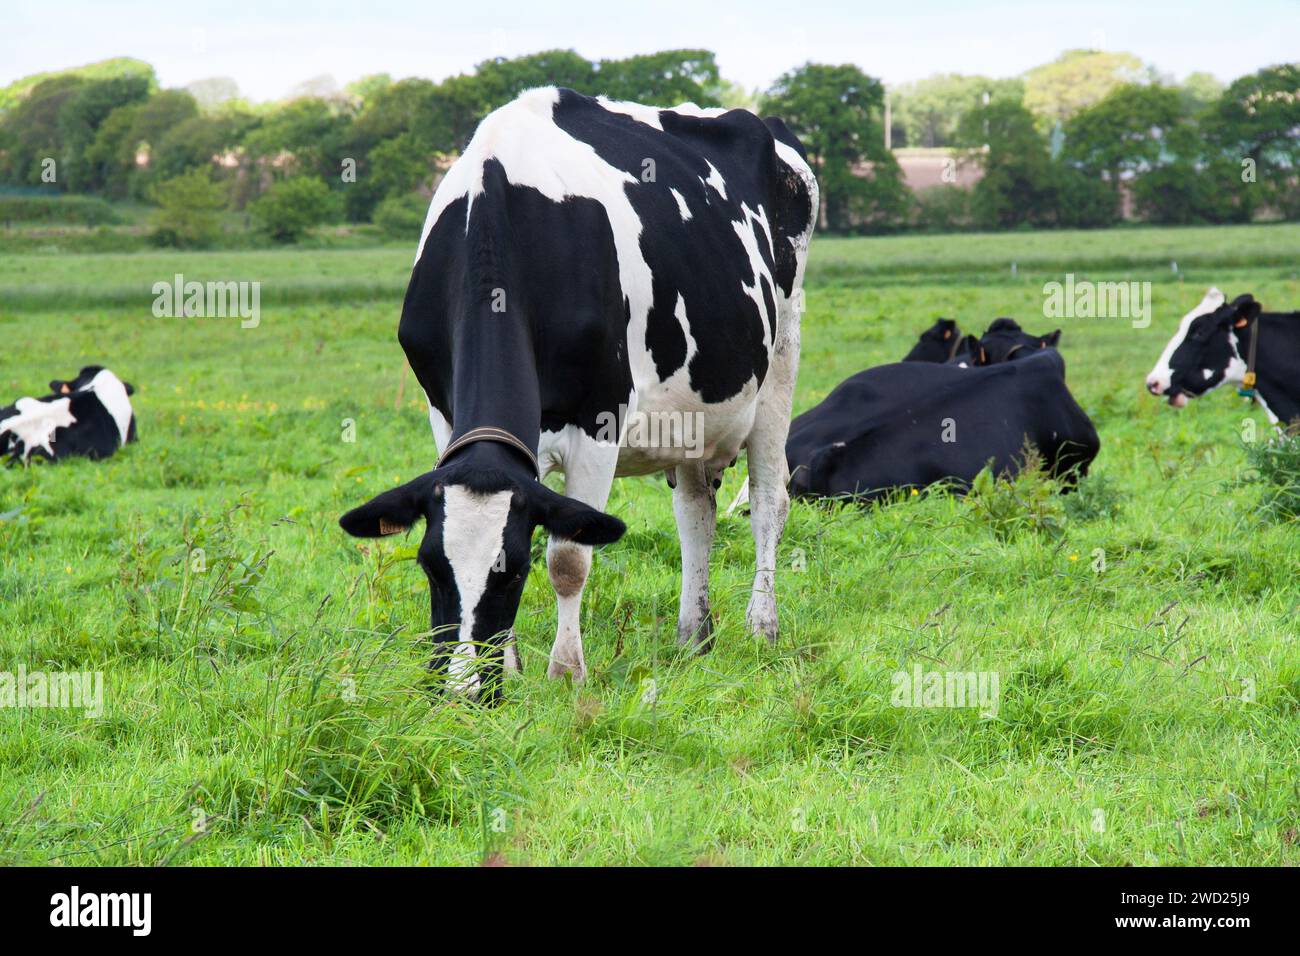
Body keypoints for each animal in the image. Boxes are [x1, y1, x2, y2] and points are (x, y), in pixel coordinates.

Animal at [337, 87, 818, 702]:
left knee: (767, 503)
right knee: (695, 513)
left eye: (514, 570)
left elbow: (569, 557)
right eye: (429, 566)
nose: (463, 691)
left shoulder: (599, 419)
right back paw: (693, 635)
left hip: (782, 358)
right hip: (696, 409)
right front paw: (512, 667)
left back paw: (762, 628)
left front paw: (566, 672)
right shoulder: (443, 415)